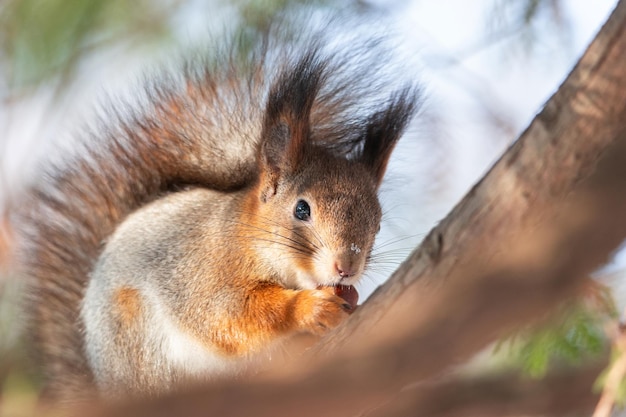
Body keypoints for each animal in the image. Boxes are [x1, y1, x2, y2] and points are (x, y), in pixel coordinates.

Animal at [12, 17, 416, 404]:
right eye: (302, 209)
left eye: (378, 225)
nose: (346, 267)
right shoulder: (204, 272)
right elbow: (230, 316)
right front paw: (307, 308)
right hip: (139, 343)